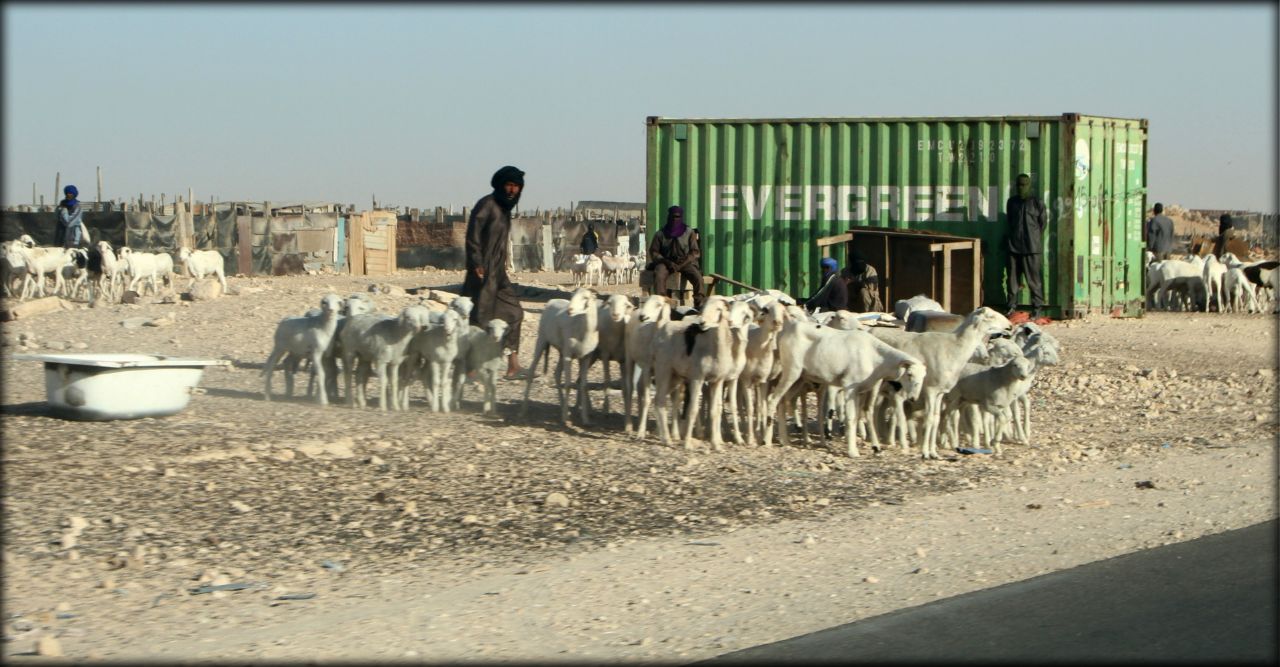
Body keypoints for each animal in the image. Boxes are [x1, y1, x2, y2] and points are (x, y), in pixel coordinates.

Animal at [519, 286, 599, 425]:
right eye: (572, 296)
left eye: (585, 297)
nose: (570, 310)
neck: (583, 330)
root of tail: (552, 300)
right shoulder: (568, 355)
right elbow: (567, 384)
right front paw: (566, 419)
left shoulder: (586, 357)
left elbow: (583, 385)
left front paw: (585, 419)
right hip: (542, 340)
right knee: (531, 371)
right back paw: (524, 410)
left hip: (561, 351)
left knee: (556, 374)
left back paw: (563, 409)